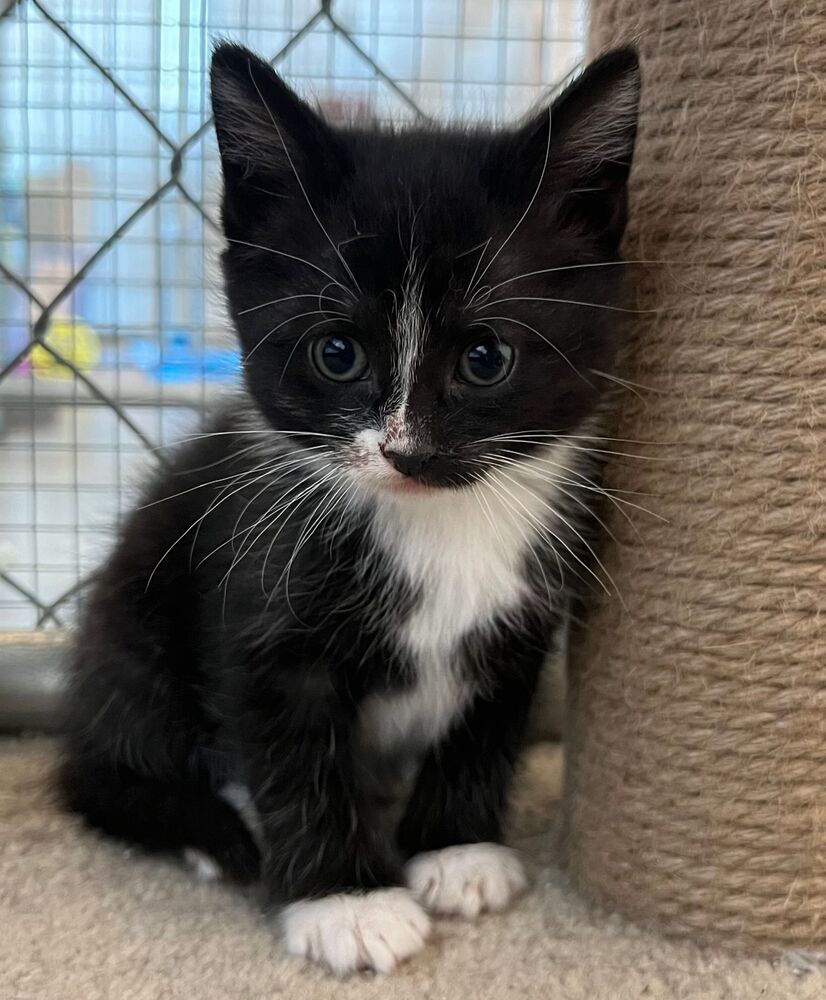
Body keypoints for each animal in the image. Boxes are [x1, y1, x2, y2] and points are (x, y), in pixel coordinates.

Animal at [58, 43, 640, 972]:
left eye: (486, 357)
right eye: (336, 353)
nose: (405, 451)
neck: (440, 522)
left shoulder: (521, 620)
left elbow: (485, 725)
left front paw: (456, 849)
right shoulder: (262, 605)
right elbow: (295, 754)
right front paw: (346, 900)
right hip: (129, 614)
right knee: (97, 770)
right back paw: (216, 825)